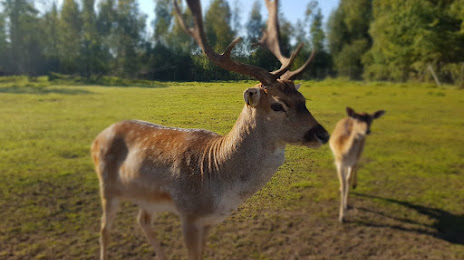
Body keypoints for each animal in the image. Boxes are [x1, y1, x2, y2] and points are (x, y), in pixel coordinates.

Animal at [90, 0, 330, 260]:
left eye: (303, 99)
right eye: (277, 105)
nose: (323, 134)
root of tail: (98, 137)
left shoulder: (208, 221)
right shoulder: (189, 214)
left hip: (145, 196)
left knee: (142, 221)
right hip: (107, 185)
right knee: (104, 229)